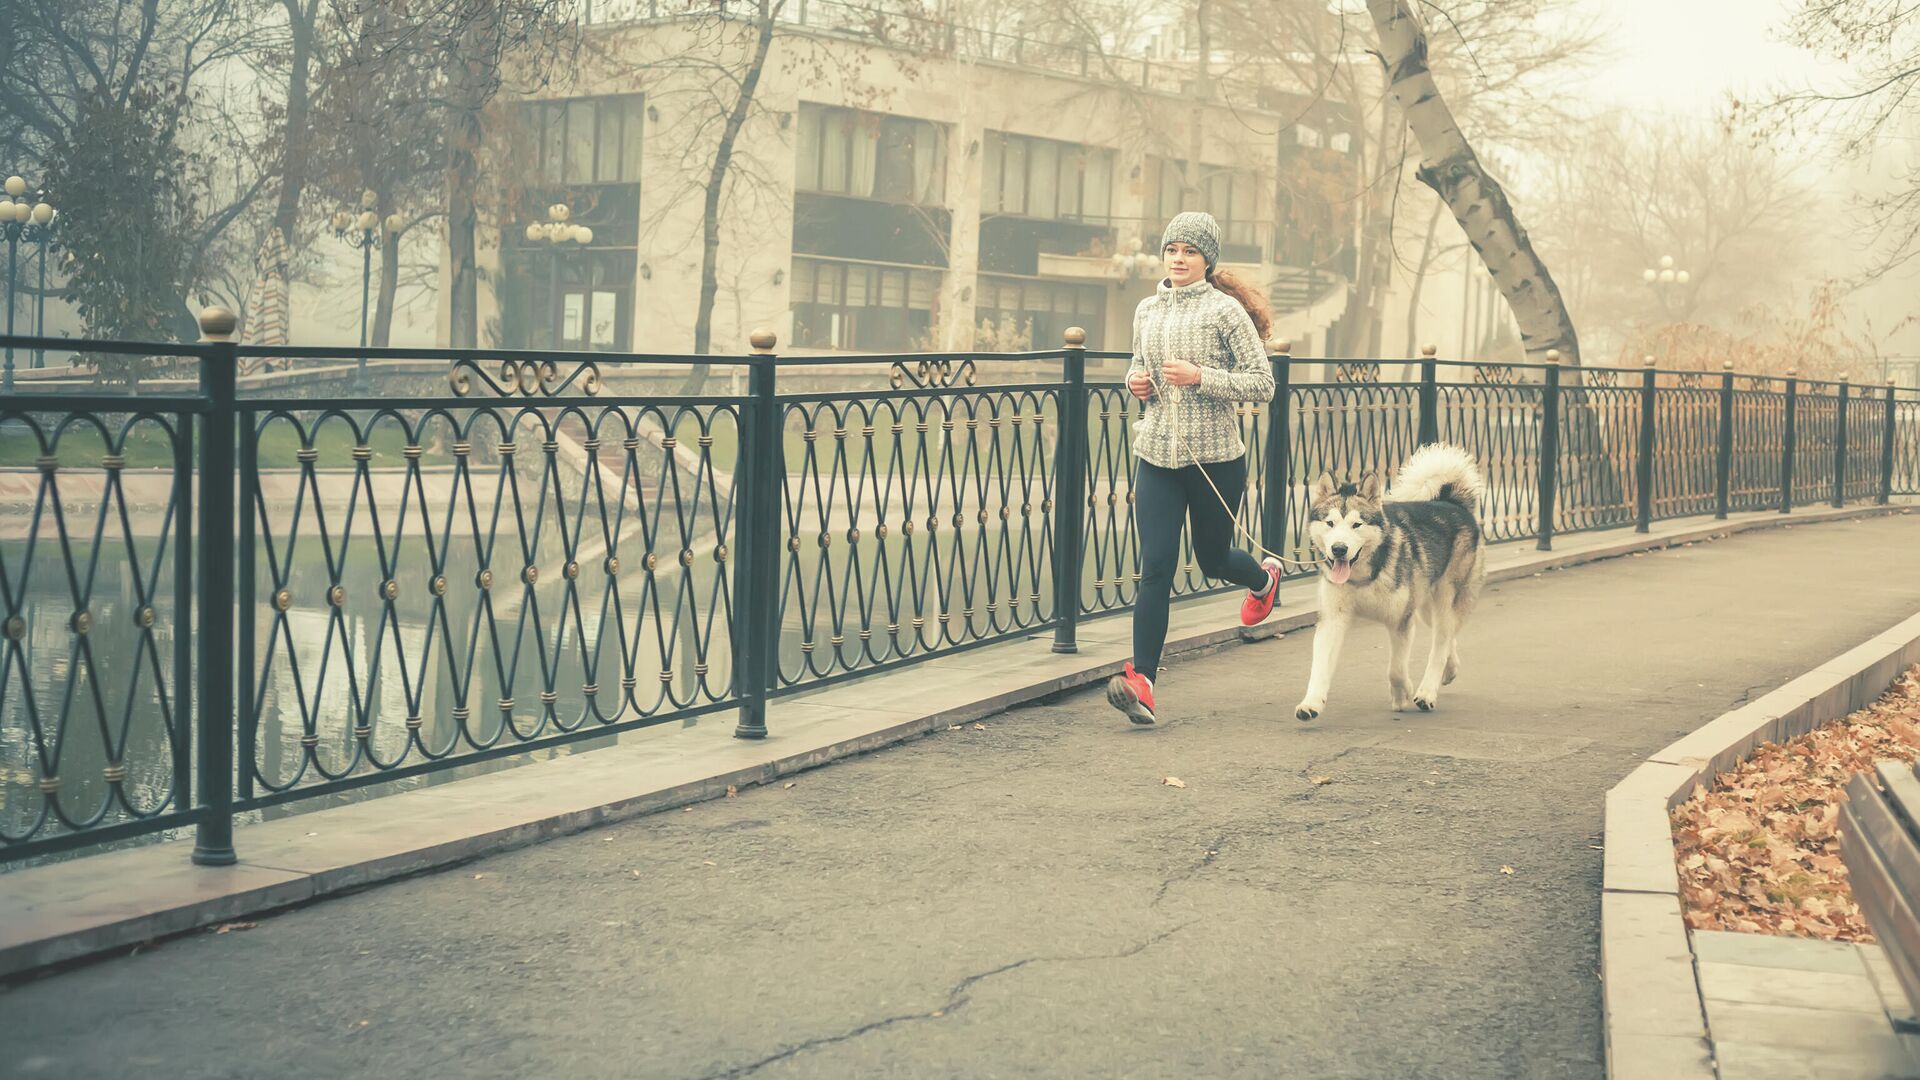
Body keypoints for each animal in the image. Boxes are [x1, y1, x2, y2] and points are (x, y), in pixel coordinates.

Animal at [1297, 441, 1489, 718]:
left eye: (1357, 524)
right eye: (1330, 523)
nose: (1339, 549)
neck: (1364, 577)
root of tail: (1451, 502)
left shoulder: (1401, 620)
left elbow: (1396, 669)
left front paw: (1401, 693)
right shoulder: (1332, 619)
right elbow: (1320, 667)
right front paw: (1311, 703)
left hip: (1446, 598)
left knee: (1441, 642)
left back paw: (1427, 692)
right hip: (1426, 606)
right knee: (1448, 635)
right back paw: (1450, 670)